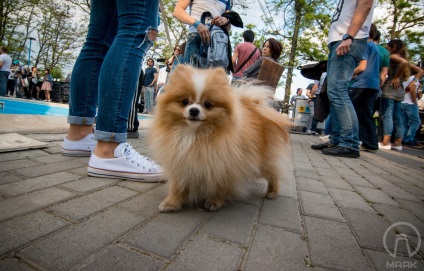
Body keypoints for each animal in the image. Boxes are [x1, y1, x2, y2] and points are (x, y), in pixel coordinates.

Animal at [149, 65, 292, 212]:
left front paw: (214, 202)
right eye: (185, 102)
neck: (194, 135)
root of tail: (257, 107)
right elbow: (177, 186)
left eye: (207, 104)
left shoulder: (223, 166)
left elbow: (219, 186)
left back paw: (272, 192)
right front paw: (171, 203)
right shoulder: (180, 162)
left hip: (263, 160)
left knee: (273, 174)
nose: (194, 110)